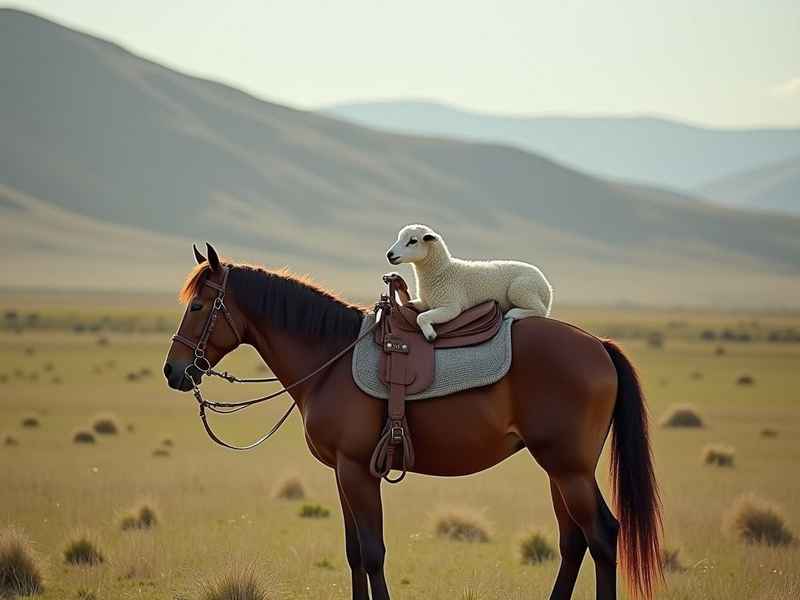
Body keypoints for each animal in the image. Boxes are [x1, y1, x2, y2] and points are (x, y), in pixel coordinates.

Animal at [162, 243, 662, 600]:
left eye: (198, 306)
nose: (173, 371)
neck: (330, 359)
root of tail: (598, 345)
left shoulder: (358, 471)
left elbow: (373, 553)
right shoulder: (342, 473)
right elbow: (354, 554)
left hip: (569, 469)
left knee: (602, 536)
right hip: (560, 470)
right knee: (573, 542)